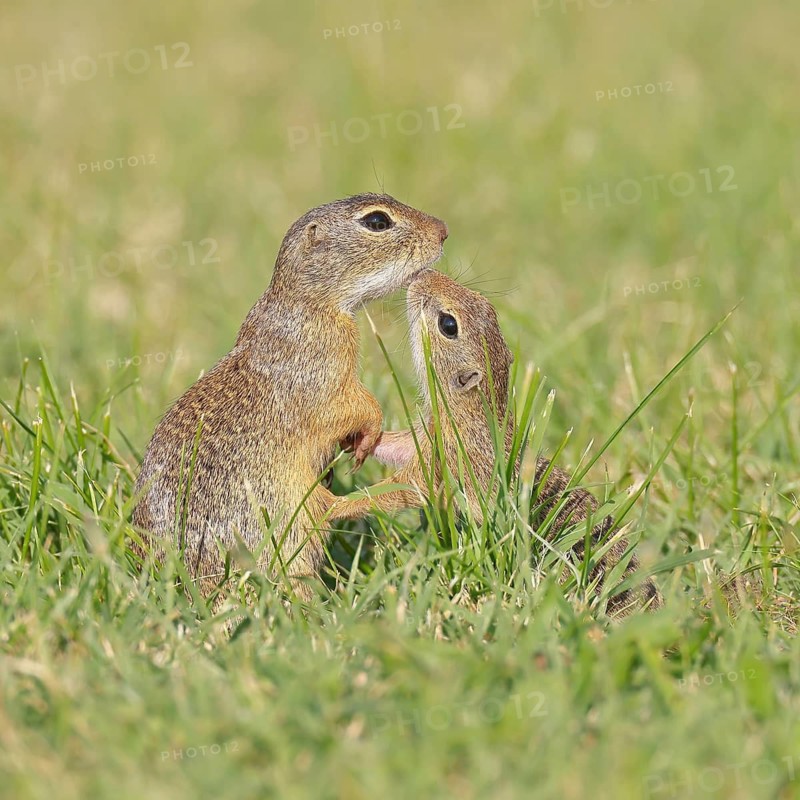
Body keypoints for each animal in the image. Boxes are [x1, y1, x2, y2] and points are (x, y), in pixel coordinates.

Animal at [131, 194, 448, 602]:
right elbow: (350, 406)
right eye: (377, 222)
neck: (307, 303)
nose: (443, 230)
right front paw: (366, 437)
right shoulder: (321, 375)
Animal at [329, 269, 662, 616]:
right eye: (485, 303)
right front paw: (357, 437)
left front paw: (335, 506)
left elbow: (400, 490)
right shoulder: (428, 436)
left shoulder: (443, 461)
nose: (424, 274)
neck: (472, 411)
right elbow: (399, 447)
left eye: (448, 325)